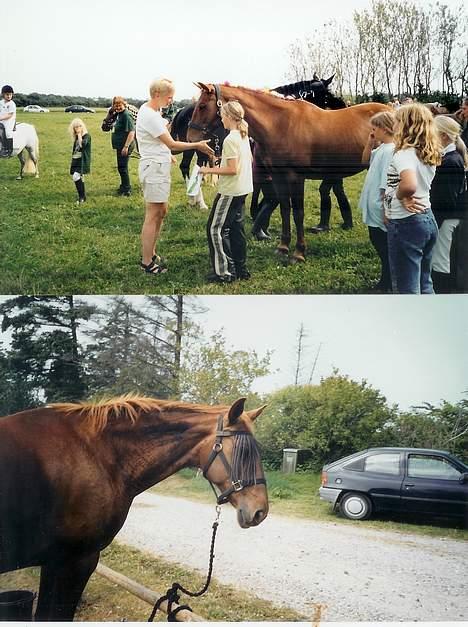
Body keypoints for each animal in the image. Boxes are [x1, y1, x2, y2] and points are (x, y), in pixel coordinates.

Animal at [186, 81, 388, 262]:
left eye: (202, 106)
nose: (190, 138)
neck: (280, 124)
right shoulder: (278, 177)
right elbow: (284, 210)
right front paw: (283, 247)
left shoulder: (295, 178)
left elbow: (298, 214)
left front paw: (299, 253)